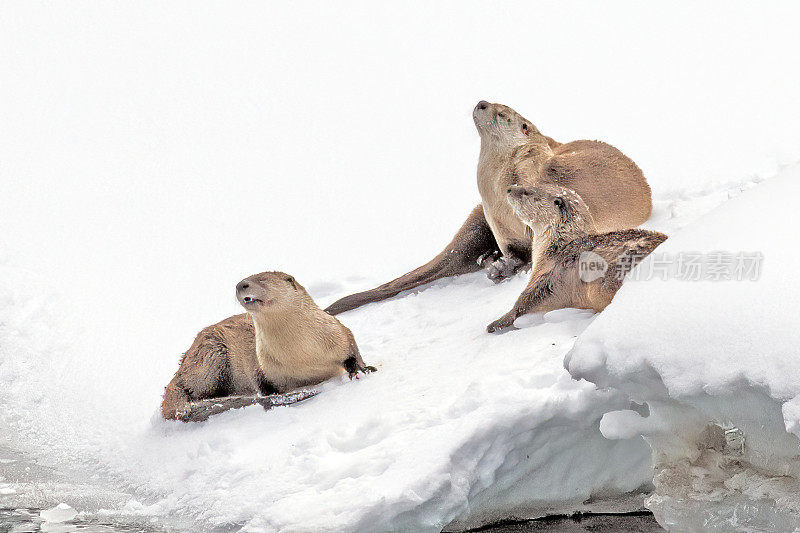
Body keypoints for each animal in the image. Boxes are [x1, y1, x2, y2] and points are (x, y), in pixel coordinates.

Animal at [162, 272, 378, 422]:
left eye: (262, 279)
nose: (240, 284)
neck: (301, 354)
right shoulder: (260, 362)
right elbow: (264, 386)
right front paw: (275, 397)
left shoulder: (337, 332)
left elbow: (352, 349)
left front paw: (362, 369)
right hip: (210, 356)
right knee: (185, 387)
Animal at [484, 183, 664, 332]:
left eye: (528, 191)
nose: (509, 188)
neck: (556, 246)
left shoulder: (547, 276)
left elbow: (524, 302)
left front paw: (496, 323)